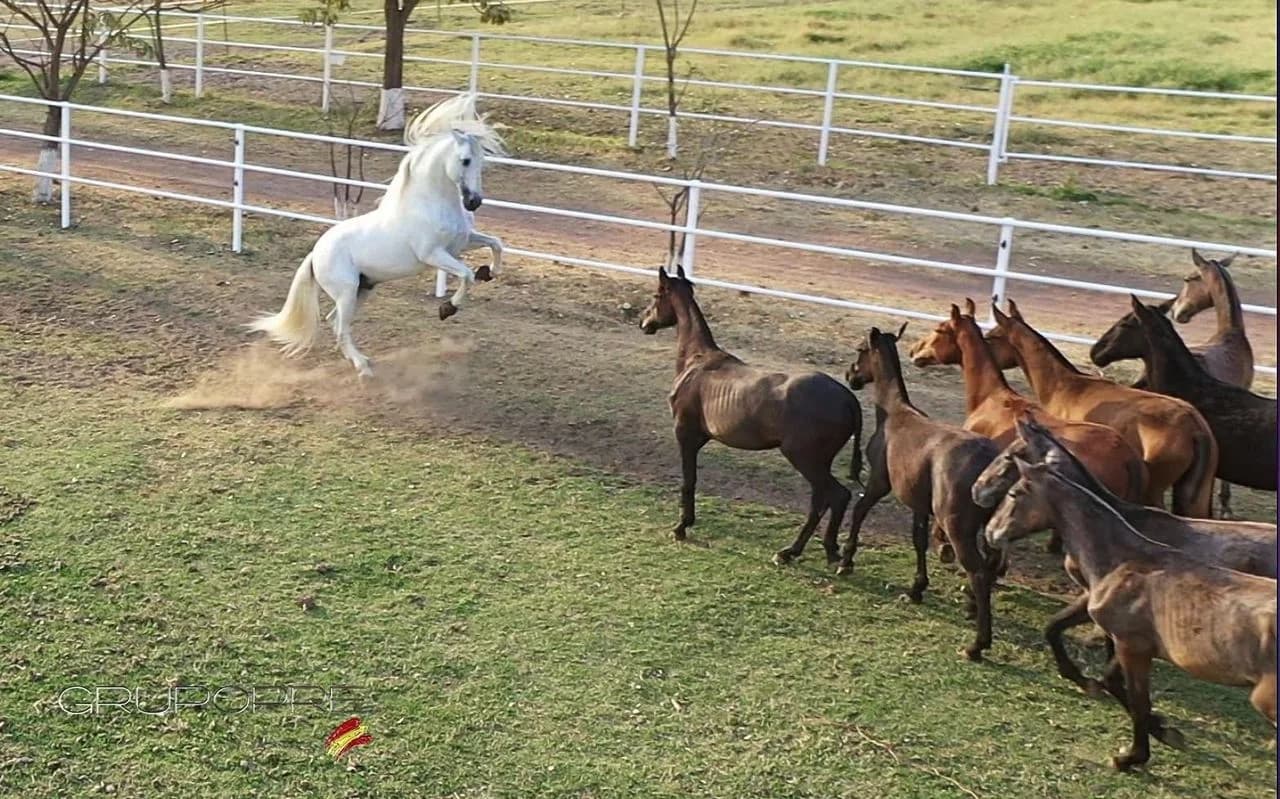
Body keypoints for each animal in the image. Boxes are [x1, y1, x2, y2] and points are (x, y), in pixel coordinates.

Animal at [248, 93, 507, 377]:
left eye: (482, 161)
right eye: (465, 160)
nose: (474, 202)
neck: (430, 203)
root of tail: (315, 255)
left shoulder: (461, 243)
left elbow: (496, 244)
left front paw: (489, 272)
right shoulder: (433, 254)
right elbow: (466, 275)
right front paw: (447, 308)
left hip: (362, 289)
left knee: (334, 322)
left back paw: (362, 361)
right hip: (347, 292)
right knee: (340, 328)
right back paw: (364, 369)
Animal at [639, 266, 863, 566]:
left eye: (656, 295)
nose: (643, 322)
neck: (697, 361)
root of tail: (848, 398)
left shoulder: (685, 434)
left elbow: (689, 481)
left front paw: (681, 527)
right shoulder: (698, 439)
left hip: (805, 459)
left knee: (835, 496)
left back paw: (799, 552)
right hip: (818, 462)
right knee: (823, 500)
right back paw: (812, 551)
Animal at [843, 325, 1001, 661]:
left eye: (861, 349)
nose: (851, 375)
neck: (895, 414)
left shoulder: (879, 482)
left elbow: (860, 510)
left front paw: (845, 560)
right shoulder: (917, 503)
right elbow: (918, 540)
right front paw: (916, 589)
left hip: (958, 530)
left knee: (979, 572)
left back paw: (977, 644)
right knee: (991, 566)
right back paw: (972, 609)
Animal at [987, 459, 1277, 771]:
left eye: (1014, 493)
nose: (990, 533)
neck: (1123, 561)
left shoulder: (1131, 647)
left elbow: (1138, 701)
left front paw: (1132, 756)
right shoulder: (1131, 643)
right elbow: (1107, 676)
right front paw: (1165, 732)